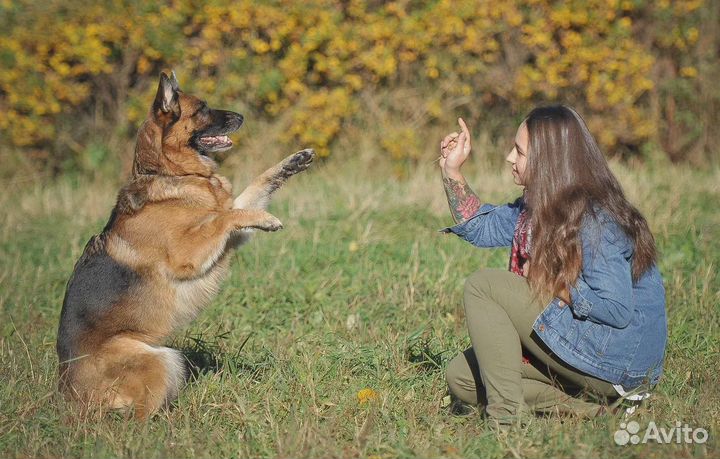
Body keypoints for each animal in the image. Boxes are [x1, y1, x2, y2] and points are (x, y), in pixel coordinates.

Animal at [56, 73, 316, 420]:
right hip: (159, 358)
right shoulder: (189, 252)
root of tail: (68, 396)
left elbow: (249, 192)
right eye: (202, 109)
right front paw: (265, 217)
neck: (171, 173)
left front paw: (292, 163)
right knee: (140, 417)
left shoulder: (231, 237)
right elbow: (226, 214)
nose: (241, 116)